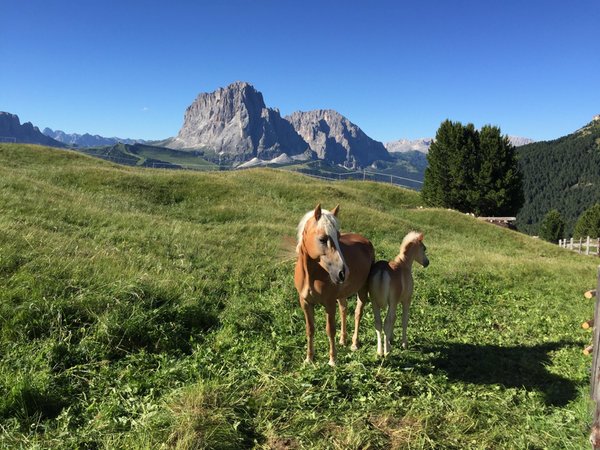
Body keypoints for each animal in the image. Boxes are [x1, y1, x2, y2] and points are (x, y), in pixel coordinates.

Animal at [292, 204, 372, 366]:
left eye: (338, 237)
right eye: (322, 239)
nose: (343, 272)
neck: (312, 275)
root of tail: (365, 241)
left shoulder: (329, 303)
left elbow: (330, 330)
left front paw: (333, 360)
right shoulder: (305, 302)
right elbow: (310, 329)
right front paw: (309, 358)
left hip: (362, 290)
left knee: (358, 313)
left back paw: (354, 343)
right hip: (341, 295)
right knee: (344, 309)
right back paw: (343, 340)